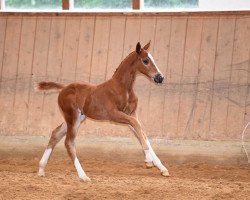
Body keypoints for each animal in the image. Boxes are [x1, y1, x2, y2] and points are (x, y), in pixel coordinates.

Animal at [37, 41, 170, 181]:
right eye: (145, 61)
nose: (160, 78)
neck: (122, 88)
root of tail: (64, 88)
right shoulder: (114, 114)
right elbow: (138, 128)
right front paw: (148, 160)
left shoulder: (131, 114)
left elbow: (142, 133)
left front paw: (162, 168)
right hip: (73, 117)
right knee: (69, 142)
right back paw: (83, 176)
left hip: (76, 118)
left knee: (55, 134)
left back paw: (41, 169)